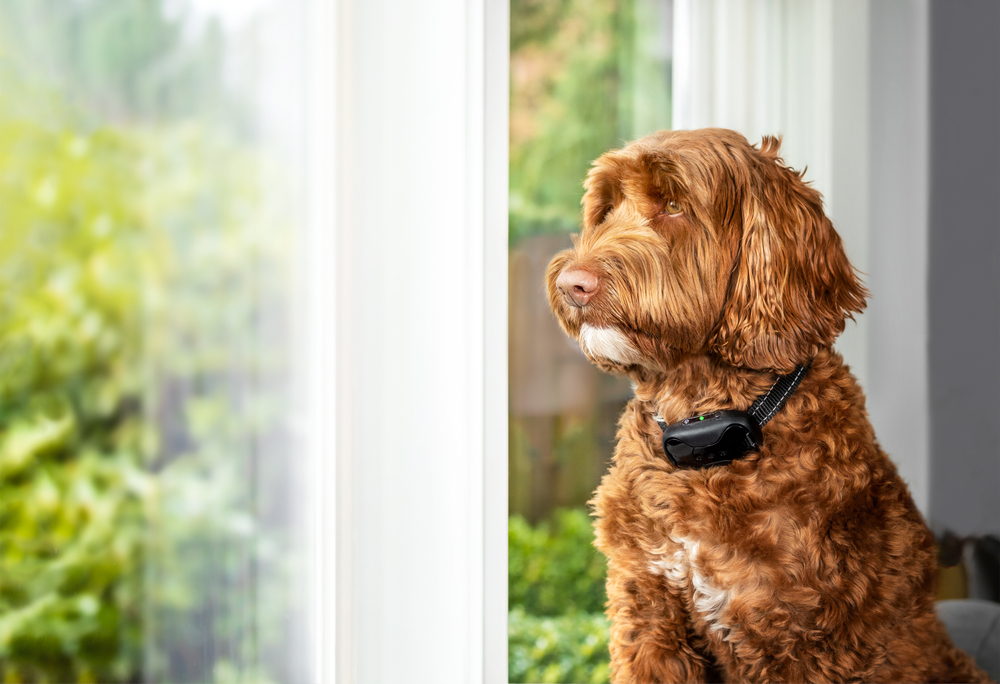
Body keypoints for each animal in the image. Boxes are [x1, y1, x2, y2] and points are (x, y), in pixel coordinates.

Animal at [548, 130, 992, 684]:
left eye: (673, 205)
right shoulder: (647, 611)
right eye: (606, 209)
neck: (703, 432)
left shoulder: (799, 636)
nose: (572, 284)